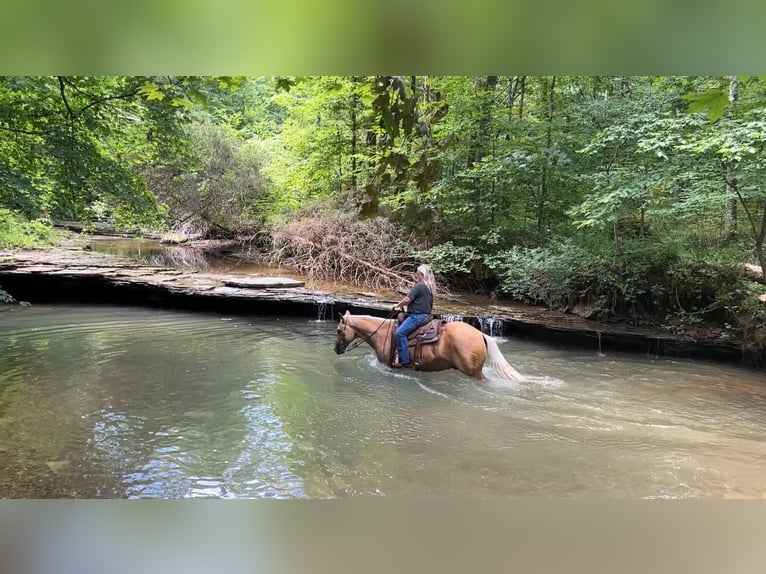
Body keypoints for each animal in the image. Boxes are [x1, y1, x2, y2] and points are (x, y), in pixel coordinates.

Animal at [334, 310, 523, 382]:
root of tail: (480, 334)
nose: (336, 349)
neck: (382, 332)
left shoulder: (388, 365)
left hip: (474, 372)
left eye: (339, 330)